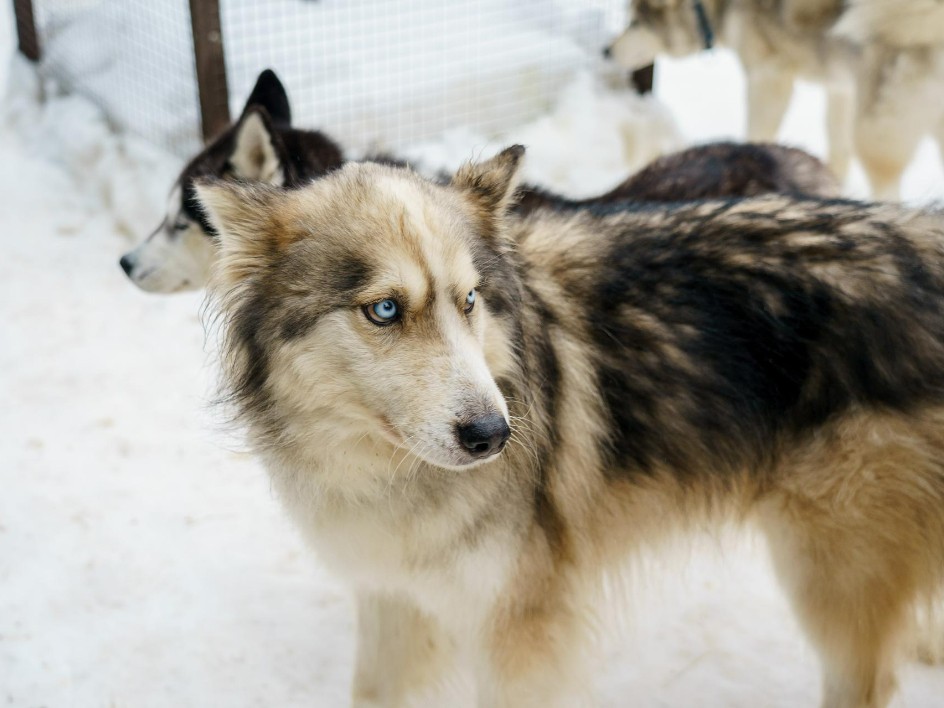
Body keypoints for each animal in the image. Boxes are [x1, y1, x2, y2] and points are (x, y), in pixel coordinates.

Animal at [197, 147, 944, 704]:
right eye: (384, 310)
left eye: (469, 300)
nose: (494, 436)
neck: (388, 476)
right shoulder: (393, 601)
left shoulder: (519, 630)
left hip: (829, 582)